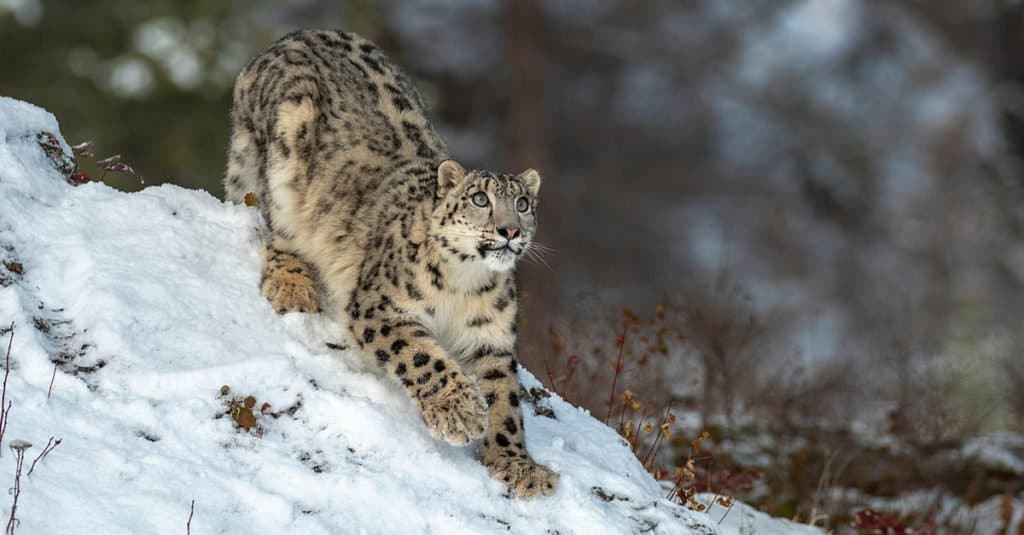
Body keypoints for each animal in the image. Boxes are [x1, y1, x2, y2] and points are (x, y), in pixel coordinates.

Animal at [225, 29, 561, 496]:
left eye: (524, 203)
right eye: (480, 199)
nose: (510, 231)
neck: (464, 284)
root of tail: (290, 37)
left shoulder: (490, 337)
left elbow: (505, 398)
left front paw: (517, 464)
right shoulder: (379, 304)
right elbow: (421, 354)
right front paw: (460, 412)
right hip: (286, 151)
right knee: (274, 225)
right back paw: (292, 286)